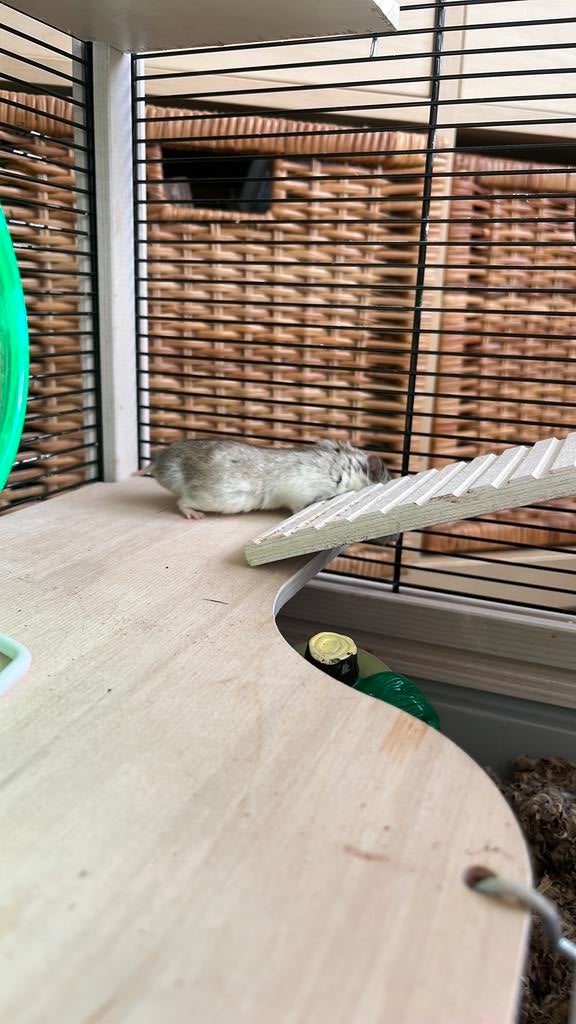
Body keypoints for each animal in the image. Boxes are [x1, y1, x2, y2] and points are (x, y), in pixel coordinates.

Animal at [143, 438, 391, 521]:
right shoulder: (303, 495)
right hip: (209, 498)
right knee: (182, 502)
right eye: (387, 477)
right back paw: (194, 515)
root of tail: (162, 462)